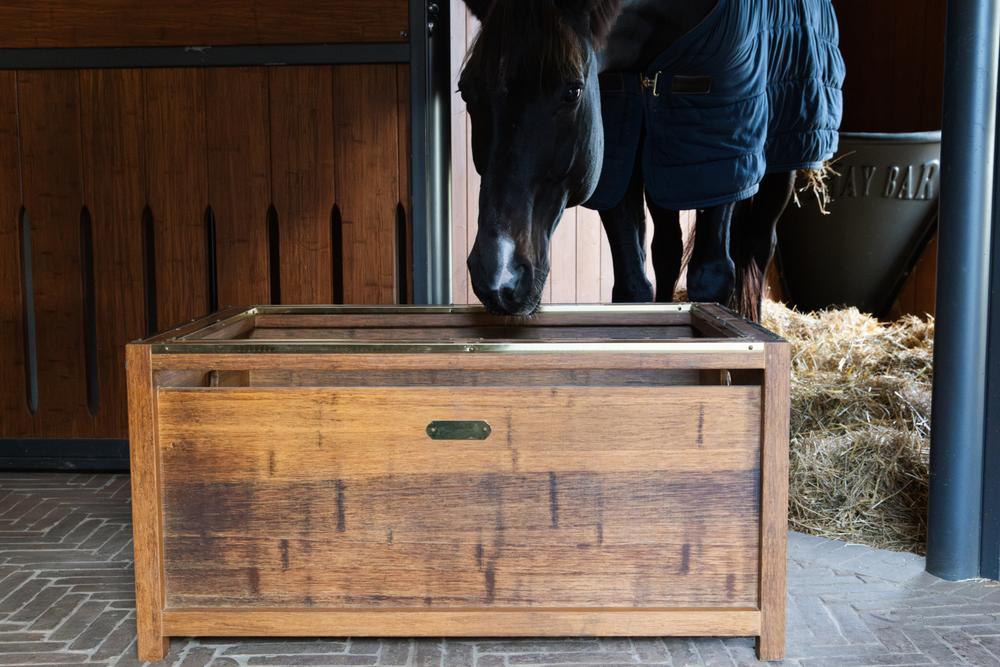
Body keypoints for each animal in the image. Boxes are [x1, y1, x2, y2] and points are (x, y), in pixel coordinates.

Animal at [460, 0, 844, 324]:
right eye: (465, 90)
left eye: (572, 91)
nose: (499, 278)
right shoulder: (618, 168)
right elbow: (632, 284)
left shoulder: (720, 166)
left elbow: (711, 277)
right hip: (663, 171)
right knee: (667, 249)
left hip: (779, 163)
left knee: (759, 246)